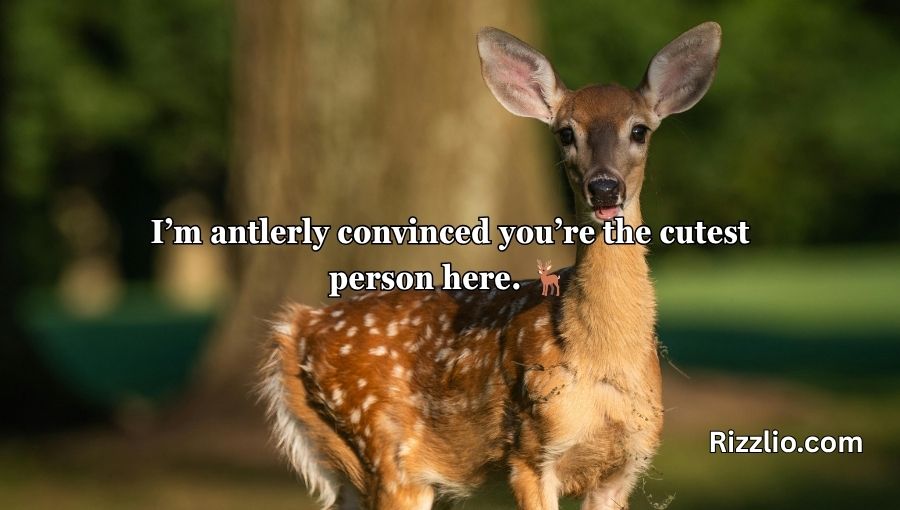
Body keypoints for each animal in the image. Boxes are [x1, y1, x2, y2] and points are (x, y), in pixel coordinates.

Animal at [260, 22, 720, 510]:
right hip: (386, 450)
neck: (599, 361)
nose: (604, 188)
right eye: (565, 133)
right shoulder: (530, 452)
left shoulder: (623, 467)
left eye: (639, 130)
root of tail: (295, 328)